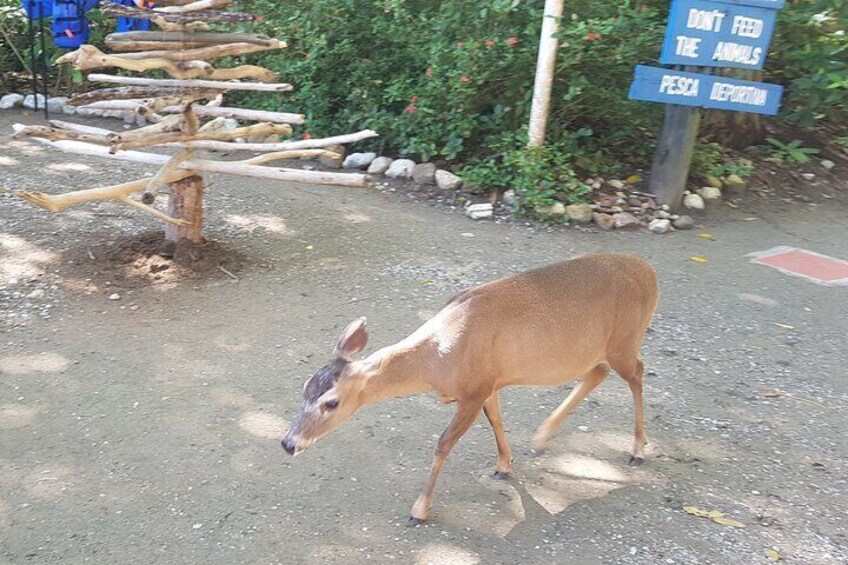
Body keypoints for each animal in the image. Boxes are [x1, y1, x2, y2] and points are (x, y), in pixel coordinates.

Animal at [282, 251, 660, 524]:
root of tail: (649, 274)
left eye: (331, 402)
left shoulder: (473, 389)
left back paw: (637, 450)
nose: (288, 443)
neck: (438, 359)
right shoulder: (489, 382)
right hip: (594, 350)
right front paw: (504, 466)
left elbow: (443, 443)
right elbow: (497, 421)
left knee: (637, 373)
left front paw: (419, 510)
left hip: (625, 338)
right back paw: (541, 438)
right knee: (598, 373)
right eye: (304, 387)